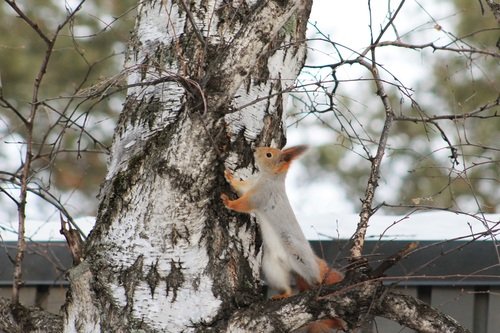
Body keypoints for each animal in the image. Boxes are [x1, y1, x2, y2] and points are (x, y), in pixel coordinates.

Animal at [222, 145, 344, 332]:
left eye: (269, 154)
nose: (255, 149)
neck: (268, 178)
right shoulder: (251, 186)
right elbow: (241, 187)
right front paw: (229, 176)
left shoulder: (261, 196)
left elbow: (243, 204)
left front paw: (227, 201)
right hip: (272, 267)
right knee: (286, 287)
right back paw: (282, 294)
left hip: (298, 254)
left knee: (314, 277)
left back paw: (318, 283)